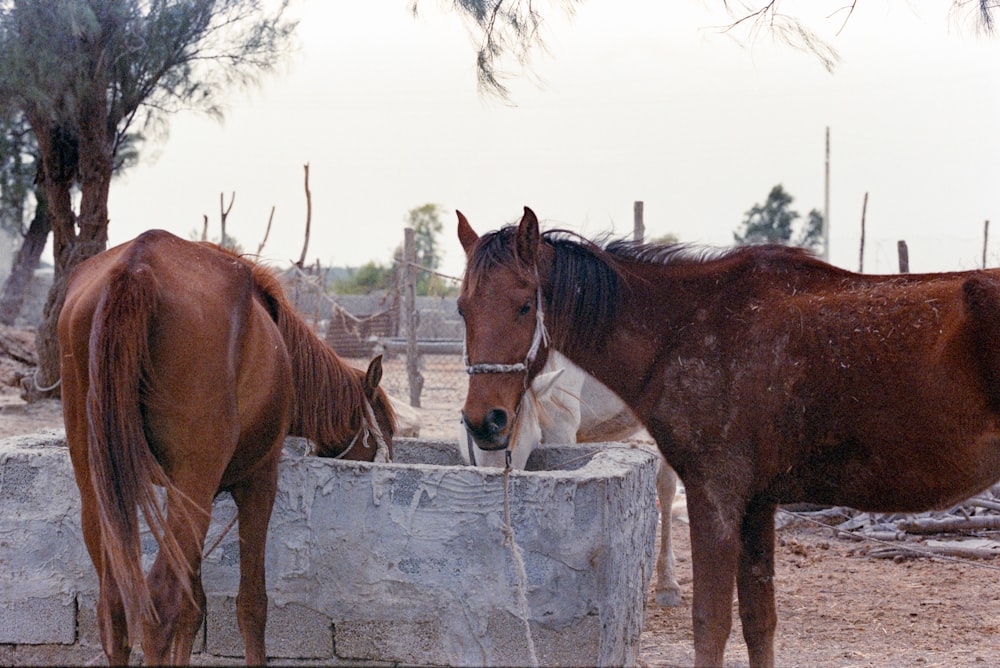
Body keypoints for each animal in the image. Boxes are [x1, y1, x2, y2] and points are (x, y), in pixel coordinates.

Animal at [57, 228, 394, 664]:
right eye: (384, 434)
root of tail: (137, 265)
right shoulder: (258, 482)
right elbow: (251, 604)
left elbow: (194, 606)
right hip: (194, 486)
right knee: (159, 605)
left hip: (102, 492)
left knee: (114, 611)